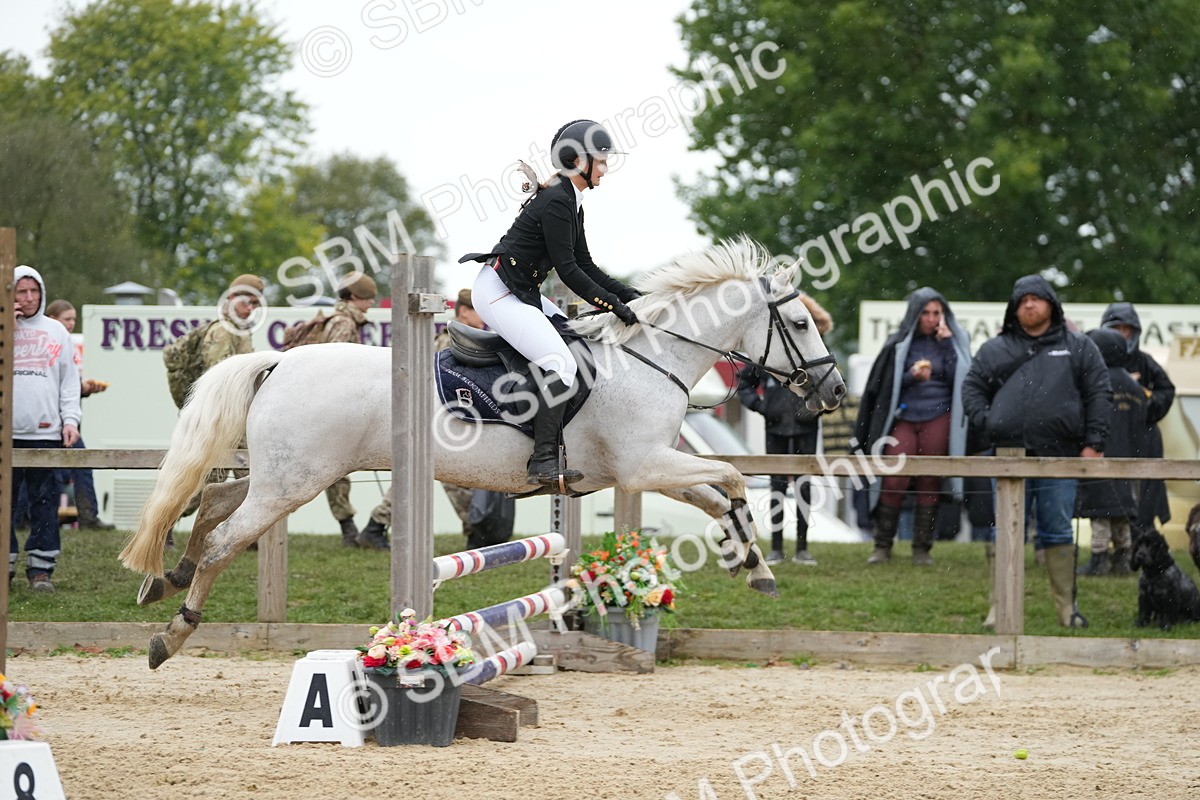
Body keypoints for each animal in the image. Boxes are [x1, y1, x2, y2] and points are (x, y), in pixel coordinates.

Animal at [121, 238, 846, 668]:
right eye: (800, 323)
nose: (835, 391)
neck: (650, 358)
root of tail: (279, 361)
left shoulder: (645, 470)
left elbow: (718, 496)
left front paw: (753, 567)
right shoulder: (642, 467)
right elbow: (732, 480)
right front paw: (753, 564)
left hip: (285, 475)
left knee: (214, 498)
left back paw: (167, 577)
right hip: (293, 482)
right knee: (225, 539)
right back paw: (172, 631)